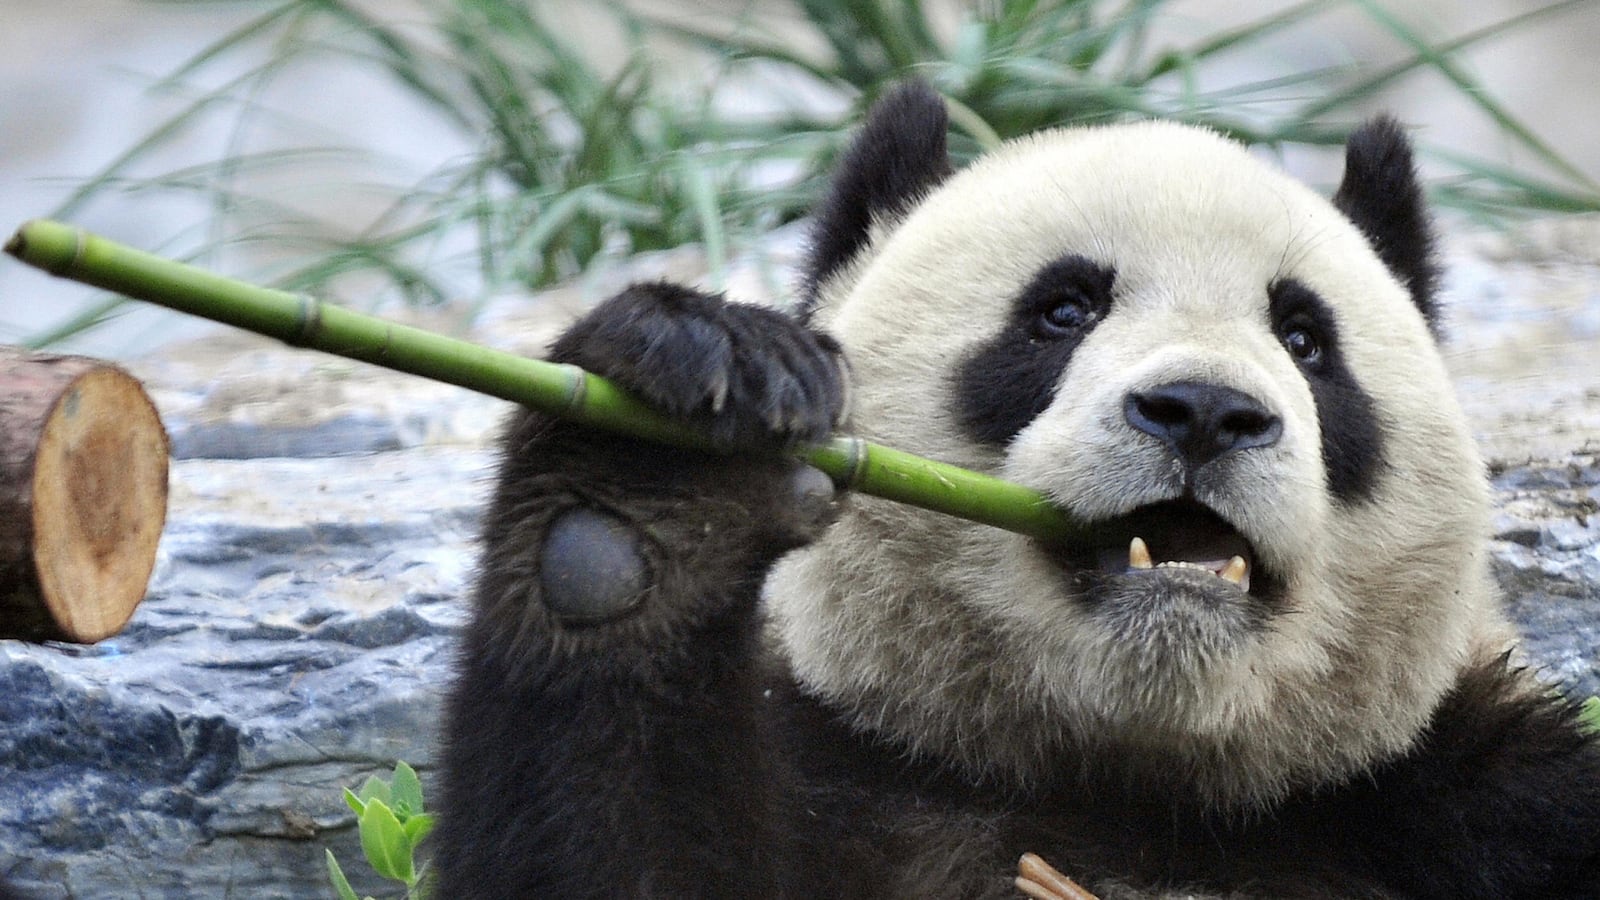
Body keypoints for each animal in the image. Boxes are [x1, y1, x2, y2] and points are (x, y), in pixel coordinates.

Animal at [432, 80, 1600, 899]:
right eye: (1063, 310)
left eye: (1307, 339)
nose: (1203, 411)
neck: (1132, 788)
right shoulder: (850, 778)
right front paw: (660, 471)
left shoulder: (1465, 800)